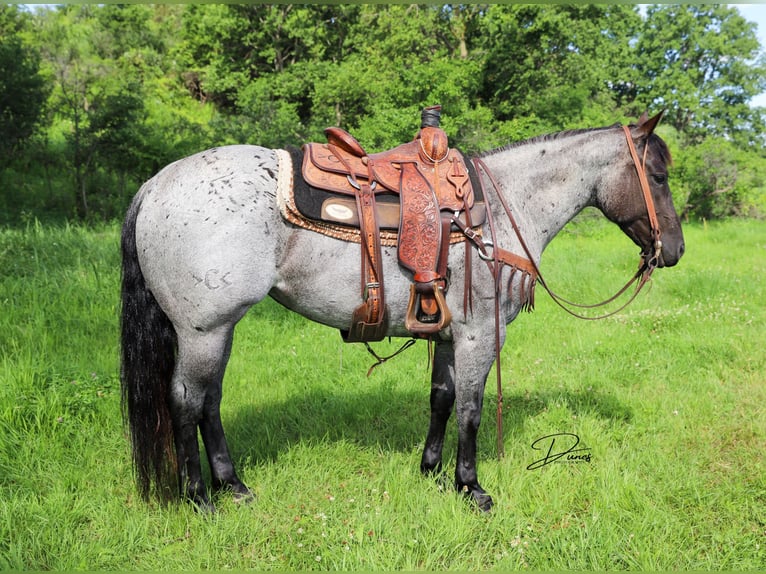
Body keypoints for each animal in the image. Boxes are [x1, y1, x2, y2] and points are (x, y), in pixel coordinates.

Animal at [123, 112, 688, 512]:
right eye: (658, 175)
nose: (676, 250)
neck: (502, 208)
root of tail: (155, 185)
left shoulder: (449, 334)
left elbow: (441, 399)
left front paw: (431, 471)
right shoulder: (480, 335)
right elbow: (471, 409)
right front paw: (471, 487)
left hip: (220, 331)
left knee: (210, 403)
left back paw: (234, 486)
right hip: (203, 331)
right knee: (186, 403)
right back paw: (200, 498)